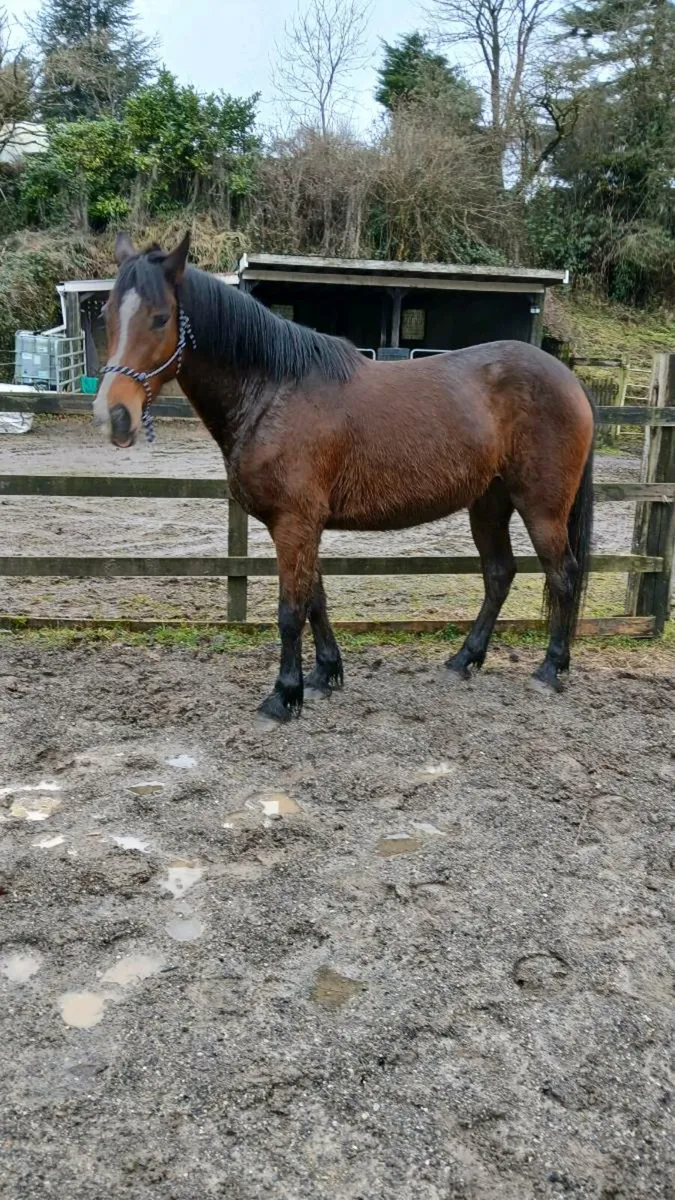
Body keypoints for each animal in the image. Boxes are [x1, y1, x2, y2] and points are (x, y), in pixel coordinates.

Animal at [94, 232, 594, 723]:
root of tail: (569, 378)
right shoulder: (302, 525)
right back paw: (464, 659)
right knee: (499, 574)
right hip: (489, 504)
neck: (274, 392)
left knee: (563, 575)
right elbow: (315, 599)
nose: (113, 415)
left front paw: (284, 696)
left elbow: (291, 610)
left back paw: (550, 670)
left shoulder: (294, 523)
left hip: (541, 508)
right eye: (106, 315)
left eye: (160, 318)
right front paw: (324, 675)